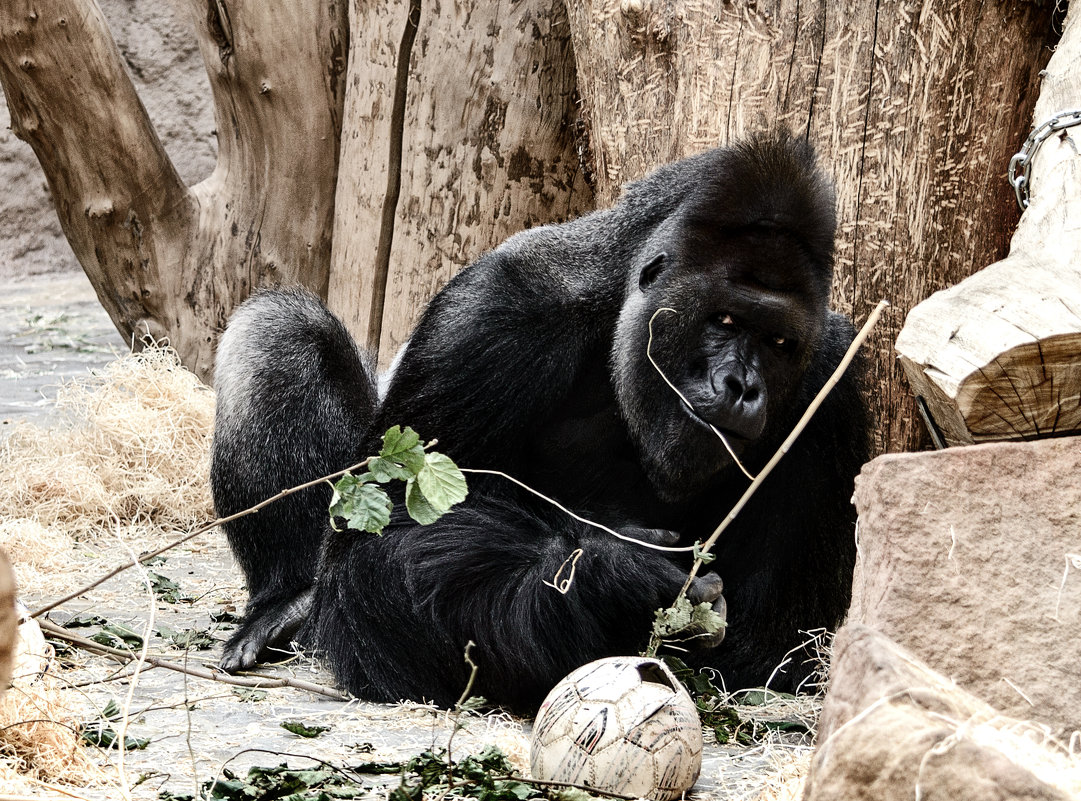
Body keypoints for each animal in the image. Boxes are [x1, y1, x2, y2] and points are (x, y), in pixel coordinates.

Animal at [208, 132, 869, 713]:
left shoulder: (832, 385)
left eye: (780, 343)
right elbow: (378, 551)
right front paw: (613, 582)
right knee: (278, 331)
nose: (742, 387)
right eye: (725, 320)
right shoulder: (492, 315)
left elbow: (771, 649)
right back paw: (289, 599)